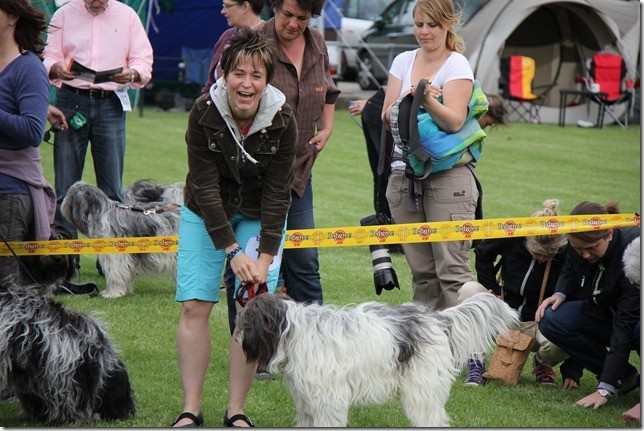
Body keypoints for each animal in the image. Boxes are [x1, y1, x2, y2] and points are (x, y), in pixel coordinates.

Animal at [239, 294, 520, 428]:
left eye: (246, 321)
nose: (237, 336)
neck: (292, 330)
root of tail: (436, 319)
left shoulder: (329, 400)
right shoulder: (307, 401)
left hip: (422, 390)